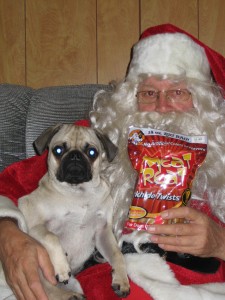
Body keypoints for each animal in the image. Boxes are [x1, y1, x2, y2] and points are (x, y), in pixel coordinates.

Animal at [17, 123, 130, 298]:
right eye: (58, 150)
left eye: (92, 152)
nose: (75, 156)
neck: (78, 192)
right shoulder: (35, 226)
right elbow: (51, 237)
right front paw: (62, 267)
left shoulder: (103, 231)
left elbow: (117, 254)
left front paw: (121, 280)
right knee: (48, 289)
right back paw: (70, 296)